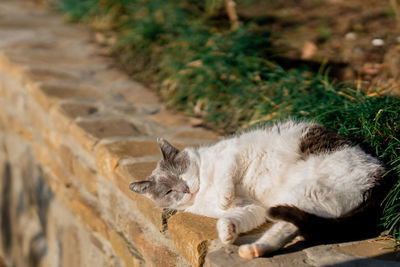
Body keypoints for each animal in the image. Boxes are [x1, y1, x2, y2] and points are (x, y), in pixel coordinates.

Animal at [128, 121, 388, 260]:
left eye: (181, 173)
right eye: (168, 191)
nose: (186, 189)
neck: (204, 189)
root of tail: (379, 177)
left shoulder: (233, 154)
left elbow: (225, 175)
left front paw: (224, 197)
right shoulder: (253, 208)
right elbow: (232, 217)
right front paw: (227, 233)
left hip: (307, 192)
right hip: (305, 201)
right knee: (287, 227)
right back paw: (254, 250)